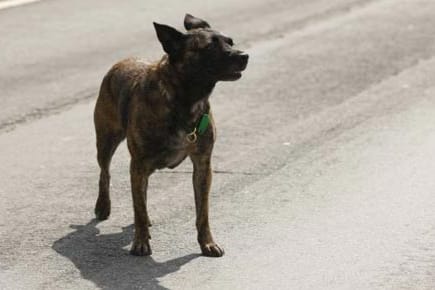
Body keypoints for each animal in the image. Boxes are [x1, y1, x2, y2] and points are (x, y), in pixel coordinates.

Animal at [93, 14, 249, 258]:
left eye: (230, 41)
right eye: (209, 47)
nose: (244, 56)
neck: (185, 100)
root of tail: (121, 62)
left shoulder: (203, 165)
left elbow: (202, 212)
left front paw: (207, 243)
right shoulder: (138, 164)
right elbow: (138, 209)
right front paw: (140, 242)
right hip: (107, 141)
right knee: (105, 173)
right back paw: (103, 206)